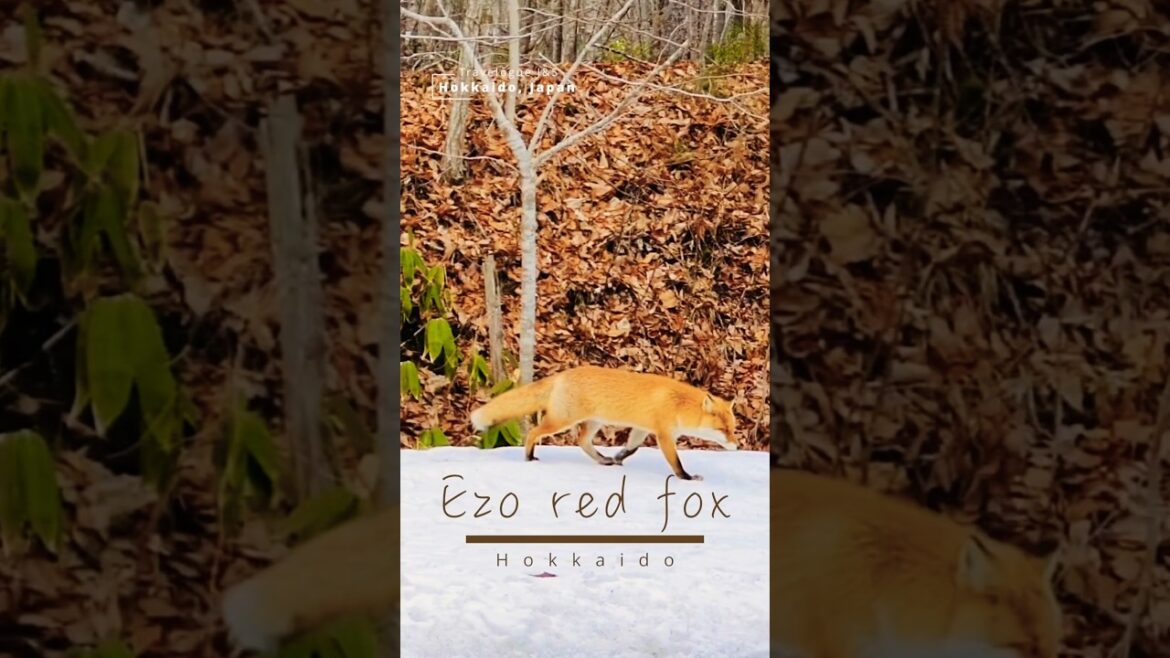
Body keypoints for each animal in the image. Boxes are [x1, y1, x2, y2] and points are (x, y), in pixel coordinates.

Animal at [469, 365, 738, 481]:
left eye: (733, 429)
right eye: (723, 430)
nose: (736, 447)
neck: (678, 404)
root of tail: (563, 374)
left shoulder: (642, 429)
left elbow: (632, 448)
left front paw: (618, 457)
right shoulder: (663, 434)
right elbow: (676, 462)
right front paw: (686, 478)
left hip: (593, 423)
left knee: (582, 442)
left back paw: (603, 459)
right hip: (562, 420)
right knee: (533, 432)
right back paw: (528, 456)